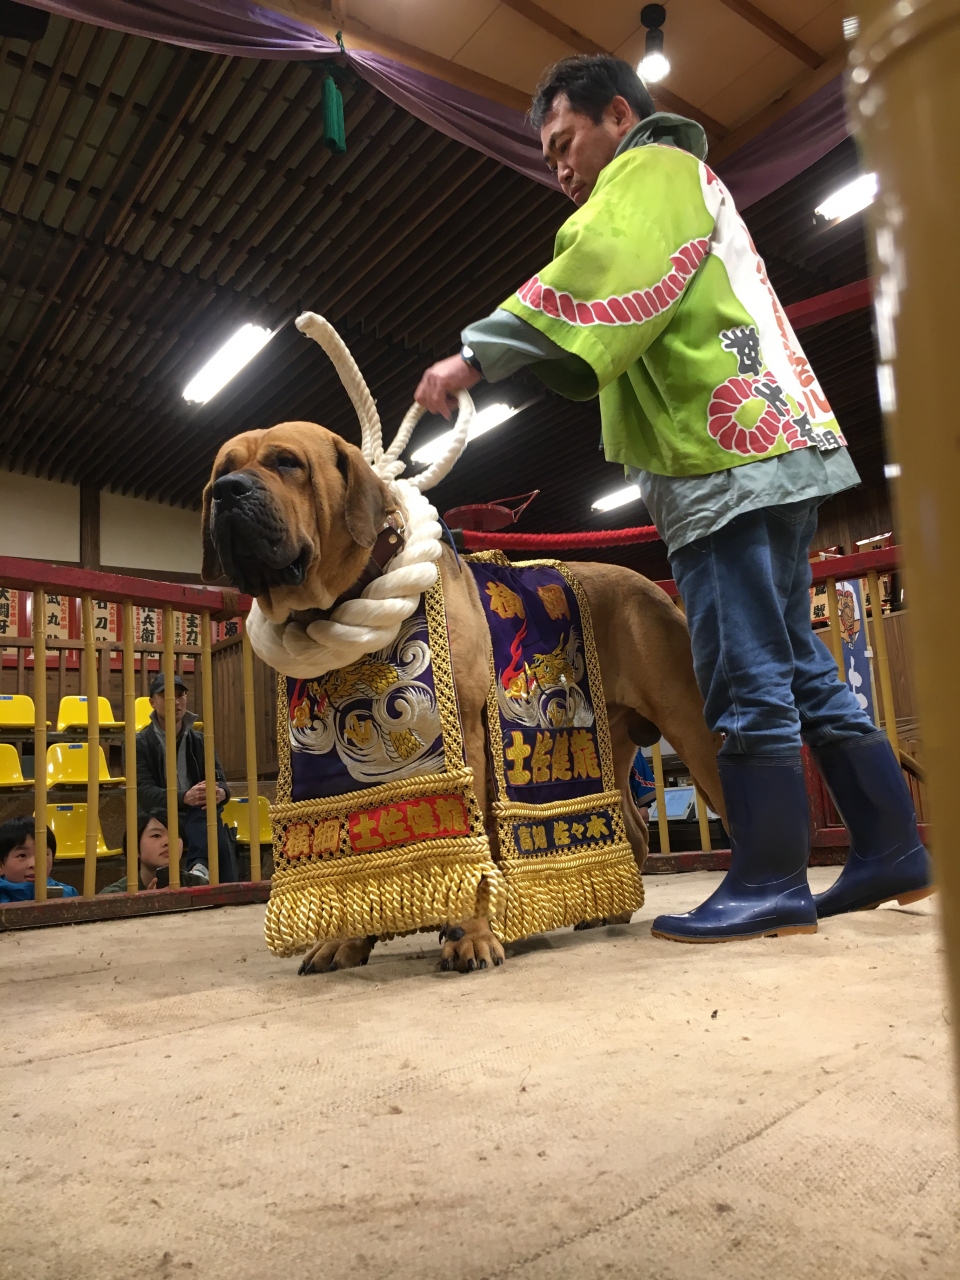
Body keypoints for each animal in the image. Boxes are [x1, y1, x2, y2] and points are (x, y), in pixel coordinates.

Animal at [202, 421, 725, 973]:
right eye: (221, 470)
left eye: (287, 463)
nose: (228, 491)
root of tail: (653, 585)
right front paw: (344, 941)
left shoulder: (469, 737)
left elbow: (473, 841)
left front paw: (471, 936)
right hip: (609, 743)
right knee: (634, 828)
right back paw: (607, 912)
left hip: (693, 728)